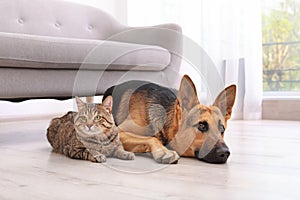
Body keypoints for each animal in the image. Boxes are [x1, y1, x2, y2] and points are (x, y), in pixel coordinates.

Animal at [103, 75, 237, 164]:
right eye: (202, 125)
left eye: (222, 129)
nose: (225, 153)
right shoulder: (118, 131)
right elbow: (152, 138)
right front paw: (164, 151)